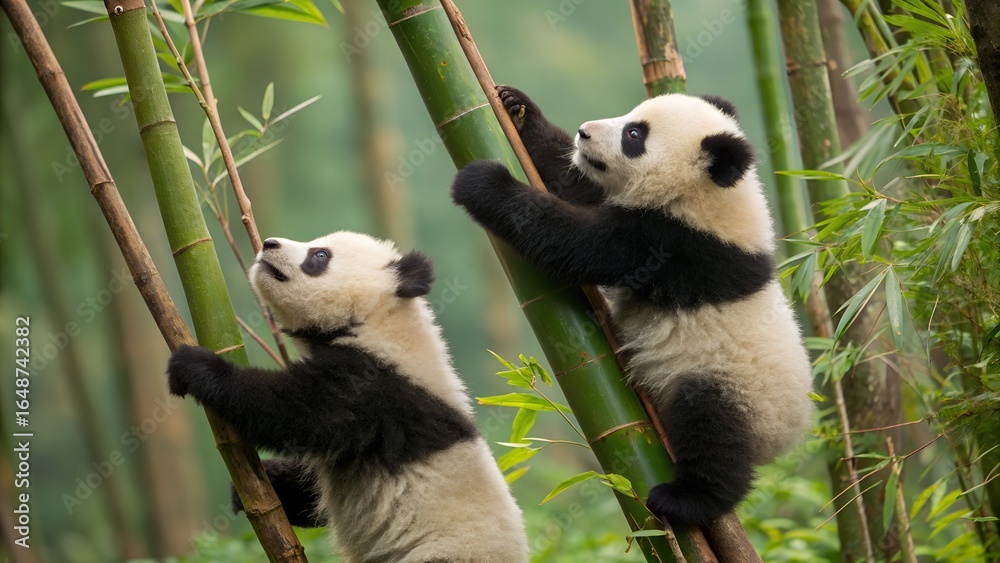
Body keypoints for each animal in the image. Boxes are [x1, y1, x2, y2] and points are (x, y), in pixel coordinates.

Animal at [167, 231, 529, 562]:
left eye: (320, 255)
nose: (268, 244)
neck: (379, 322)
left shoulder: (374, 386)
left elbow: (297, 411)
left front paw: (195, 367)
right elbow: (310, 490)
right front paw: (266, 483)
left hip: (447, 553)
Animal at [450, 86, 814, 527]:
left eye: (634, 135)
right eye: (630, 120)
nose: (584, 132)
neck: (712, 198)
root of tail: (786, 440)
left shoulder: (673, 244)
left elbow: (578, 242)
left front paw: (484, 182)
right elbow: (576, 184)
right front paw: (518, 109)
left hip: (739, 389)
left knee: (711, 426)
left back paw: (688, 499)